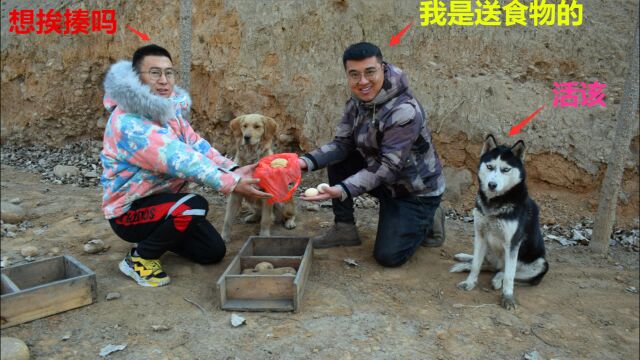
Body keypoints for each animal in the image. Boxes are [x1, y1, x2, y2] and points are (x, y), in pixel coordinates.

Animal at [450, 135, 552, 310]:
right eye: (490, 166)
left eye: (506, 170)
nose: (492, 185)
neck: (495, 203)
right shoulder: (480, 234)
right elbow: (476, 264)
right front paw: (470, 282)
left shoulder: (513, 243)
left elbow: (510, 276)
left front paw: (507, 297)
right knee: (486, 264)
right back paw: (465, 259)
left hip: (541, 264)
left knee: (505, 271)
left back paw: (498, 279)